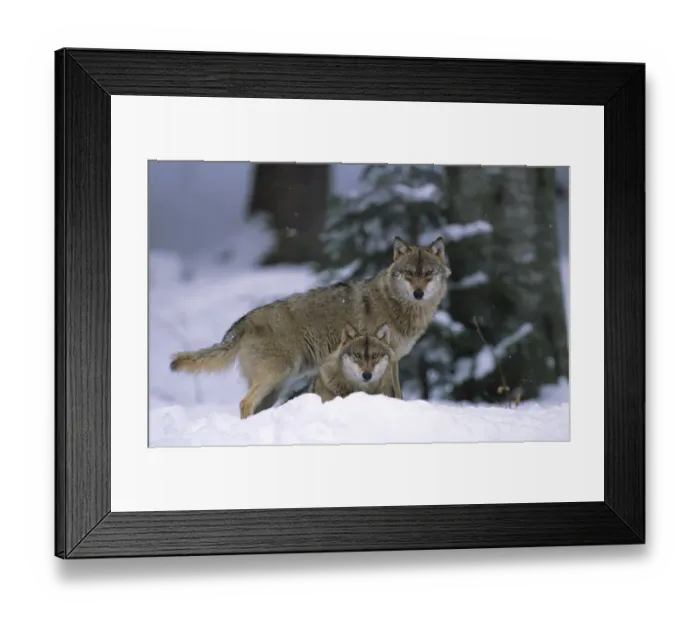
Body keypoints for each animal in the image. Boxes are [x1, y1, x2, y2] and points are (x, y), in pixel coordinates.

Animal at [169, 235, 450, 419]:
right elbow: (396, 393)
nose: (418, 293)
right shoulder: (388, 361)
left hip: (276, 387)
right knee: (244, 403)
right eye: (409, 274)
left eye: (427, 274)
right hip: (276, 376)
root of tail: (243, 322)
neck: (396, 305)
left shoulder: (392, 361)